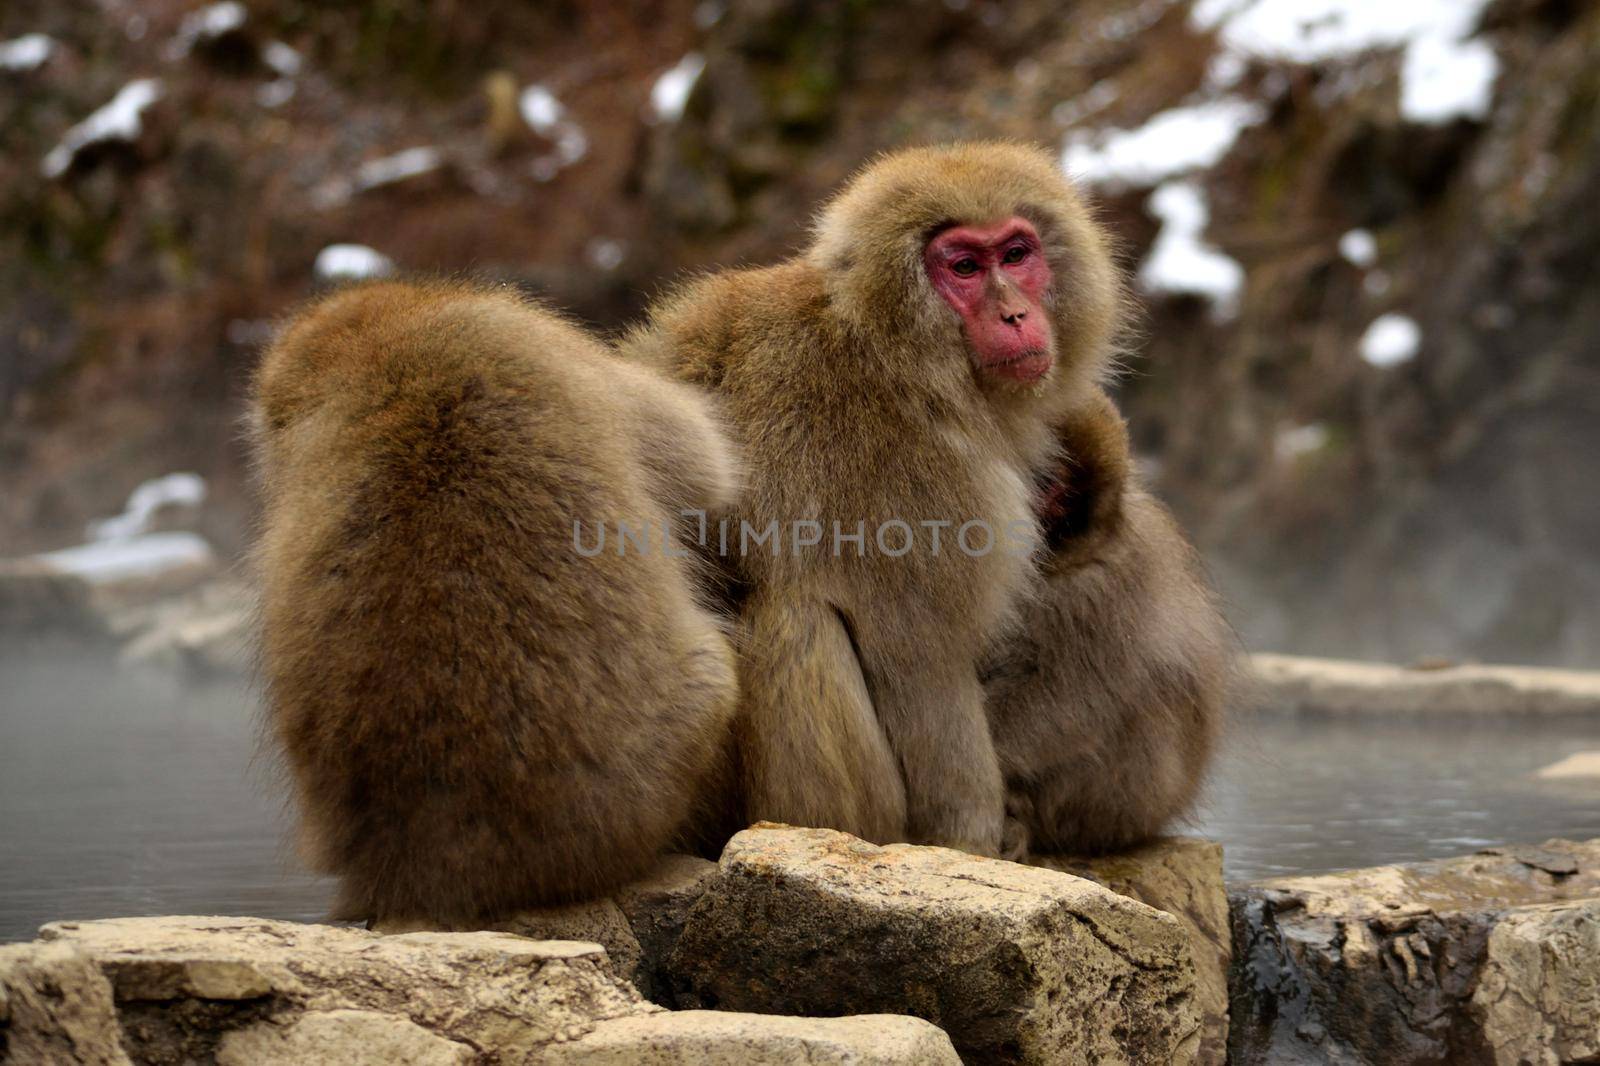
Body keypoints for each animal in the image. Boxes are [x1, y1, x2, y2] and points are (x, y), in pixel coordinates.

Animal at [979, 385, 1241, 851]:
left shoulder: (1103, 592)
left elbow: (1069, 699)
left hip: (1126, 803)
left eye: (1061, 492)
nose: (1045, 518)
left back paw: (1023, 820)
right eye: (1042, 480)